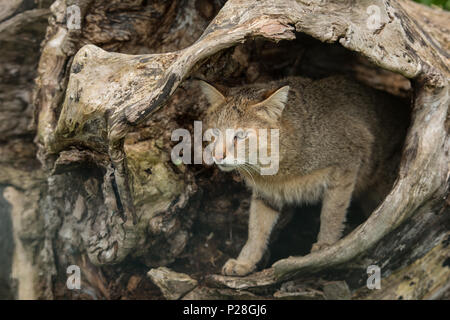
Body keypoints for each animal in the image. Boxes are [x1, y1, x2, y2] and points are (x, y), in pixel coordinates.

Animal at [200, 76, 408, 276]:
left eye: (240, 136)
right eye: (215, 132)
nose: (217, 156)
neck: (278, 171)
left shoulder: (347, 163)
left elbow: (332, 212)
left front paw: (326, 246)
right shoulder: (265, 194)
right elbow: (256, 229)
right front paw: (244, 261)